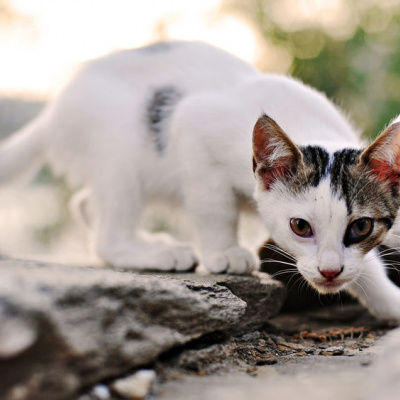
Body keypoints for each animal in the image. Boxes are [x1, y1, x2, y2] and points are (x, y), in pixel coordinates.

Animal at [0, 40, 400, 320]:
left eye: (361, 227)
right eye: (300, 226)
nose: (329, 271)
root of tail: (54, 107)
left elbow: (366, 264)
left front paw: (387, 301)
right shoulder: (193, 126)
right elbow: (214, 207)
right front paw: (224, 251)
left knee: (84, 203)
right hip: (120, 148)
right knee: (107, 235)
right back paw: (158, 252)